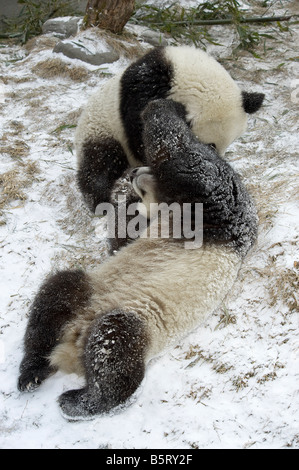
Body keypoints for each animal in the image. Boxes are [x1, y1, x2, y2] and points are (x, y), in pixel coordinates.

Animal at [17, 98, 258, 418]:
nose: (133, 173)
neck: (167, 208)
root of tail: (71, 346)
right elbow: (123, 239)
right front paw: (123, 199)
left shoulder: (219, 207)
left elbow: (185, 157)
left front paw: (166, 106)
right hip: (89, 288)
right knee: (53, 301)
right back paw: (32, 372)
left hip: (140, 319)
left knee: (116, 346)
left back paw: (79, 400)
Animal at [74, 46, 264, 211]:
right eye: (211, 145)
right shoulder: (144, 92)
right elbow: (142, 136)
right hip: (102, 128)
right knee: (100, 165)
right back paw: (101, 201)